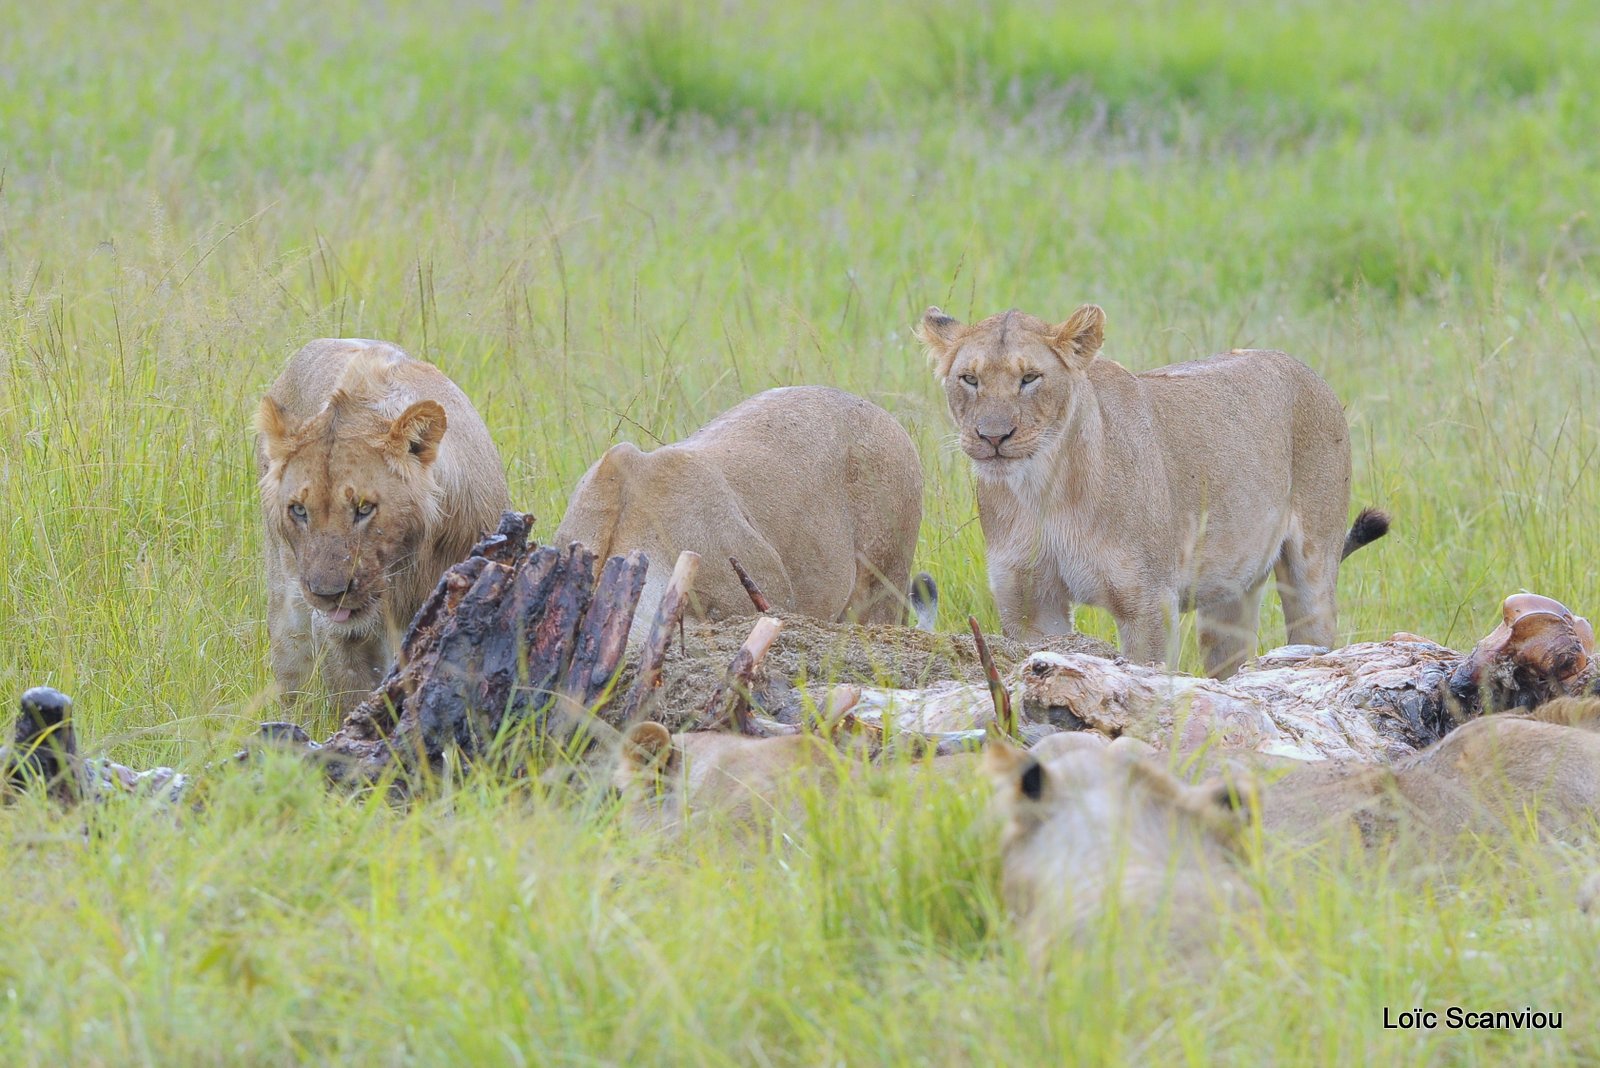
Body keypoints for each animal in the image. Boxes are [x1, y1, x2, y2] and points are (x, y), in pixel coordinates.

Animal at [915, 303, 1388, 681]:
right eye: (970, 379)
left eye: (1030, 378)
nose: (993, 436)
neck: (1042, 490)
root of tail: (1304, 369)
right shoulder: (1028, 604)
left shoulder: (1147, 602)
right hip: (1231, 590)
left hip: (1313, 567)